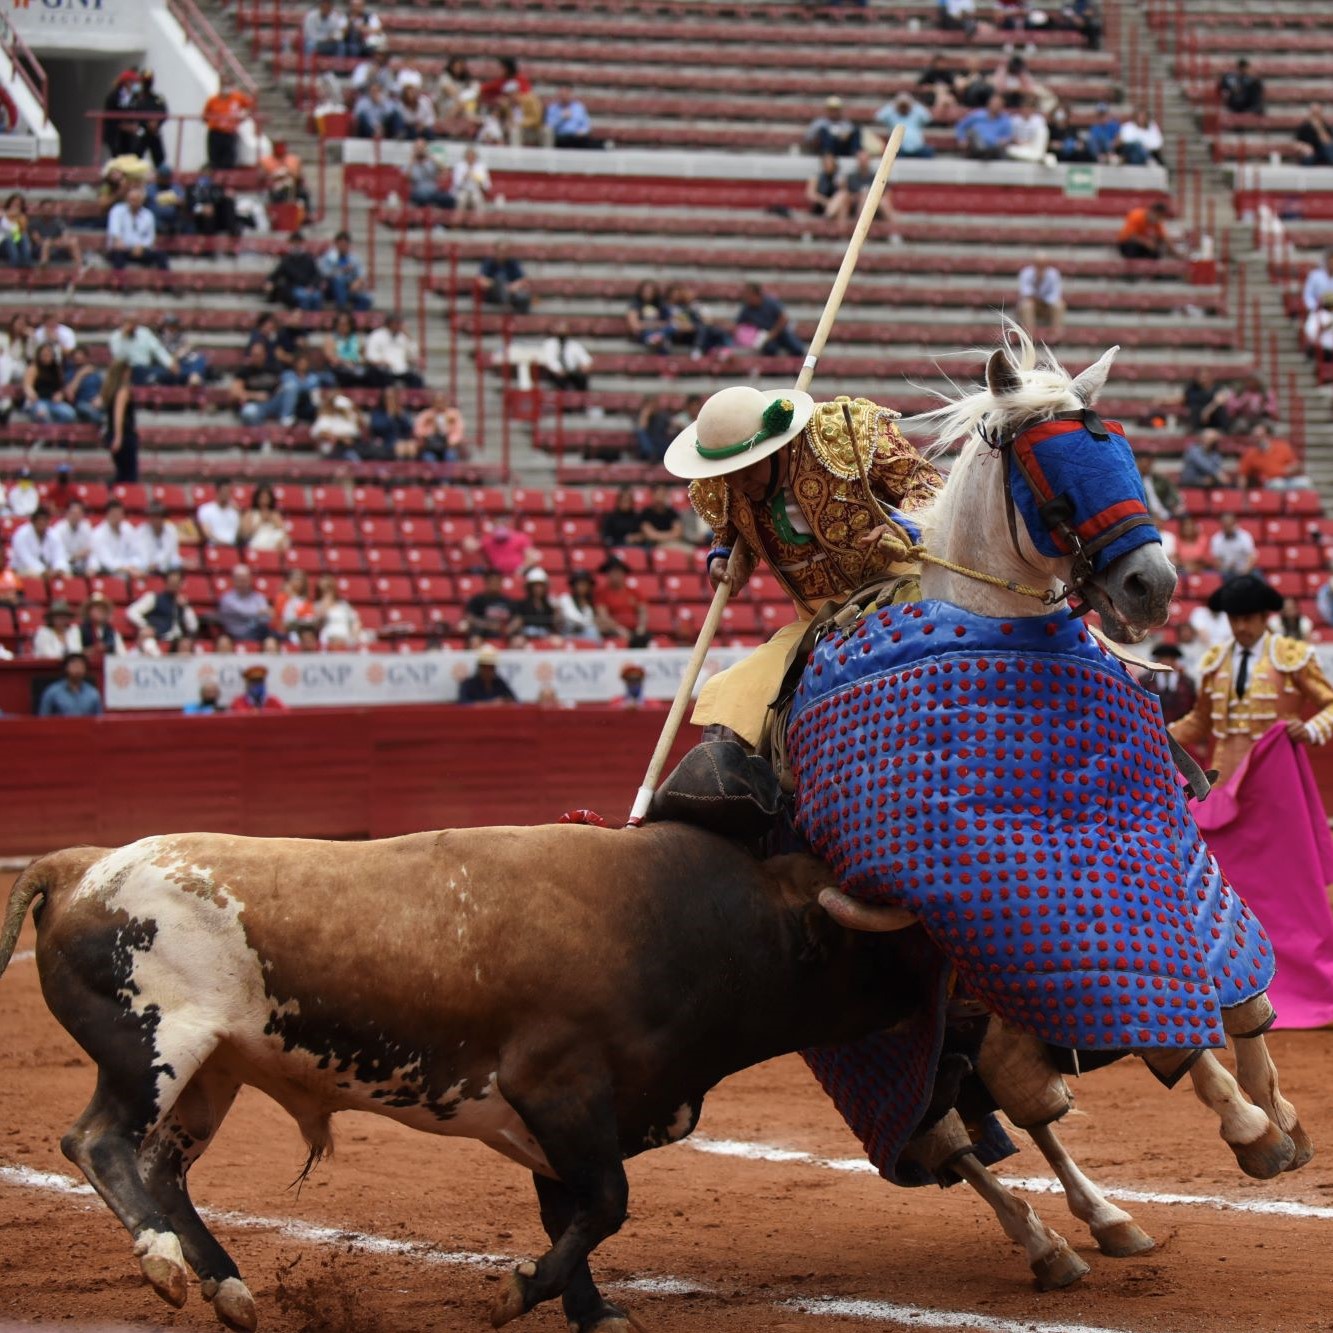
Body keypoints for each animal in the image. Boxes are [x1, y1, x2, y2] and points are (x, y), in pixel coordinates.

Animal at [0, 825, 943, 1333]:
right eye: (869, 947)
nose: (940, 984)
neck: (685, 926)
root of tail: (78, 865)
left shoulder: (556, 1122)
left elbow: (573, 1210)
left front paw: (592, 1309)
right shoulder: (560, 1089)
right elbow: (606, 1201)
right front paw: (522, 1290)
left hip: (213, 1072)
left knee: (162, 1166)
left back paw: (228, 1287)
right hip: (152, 1048)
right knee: (97, 1141)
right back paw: (163, 1262)